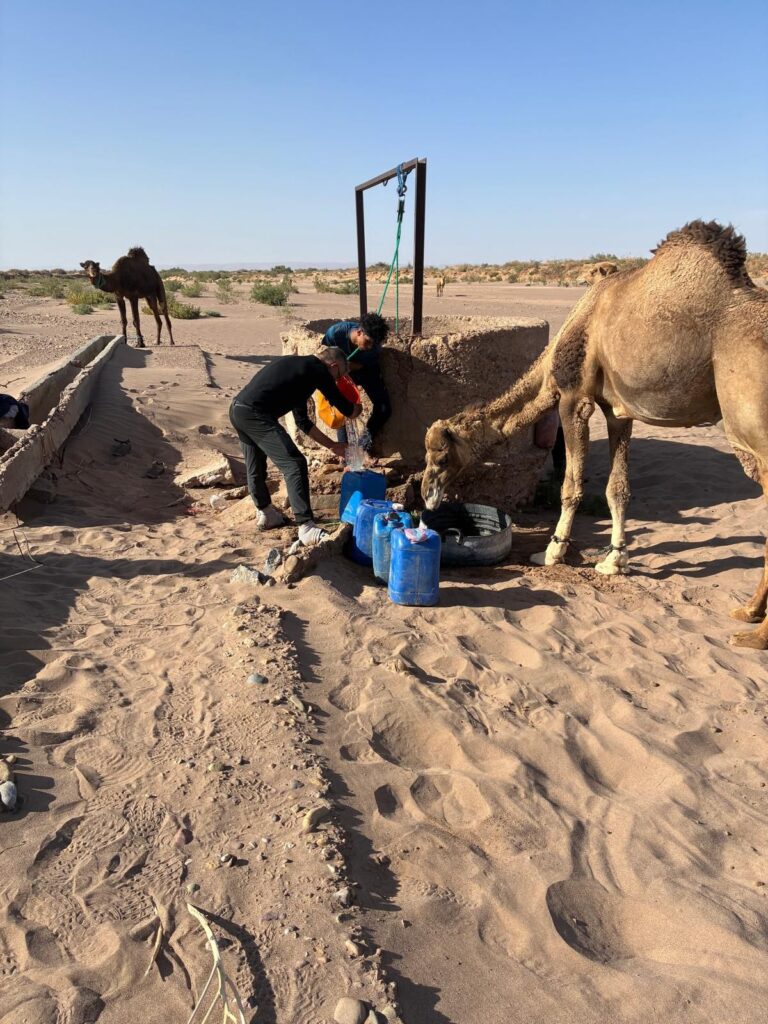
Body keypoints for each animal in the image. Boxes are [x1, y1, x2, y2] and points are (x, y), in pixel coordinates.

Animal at [421, 220, 768, 649]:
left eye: (440, 456)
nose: (425, 494)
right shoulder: (619, 412)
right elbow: (618, 488)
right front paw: (613, 561)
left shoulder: (575, 399)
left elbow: (572, 485)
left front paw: (551, 554)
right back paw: (749, 612)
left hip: (750, 425)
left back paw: (754, 627)